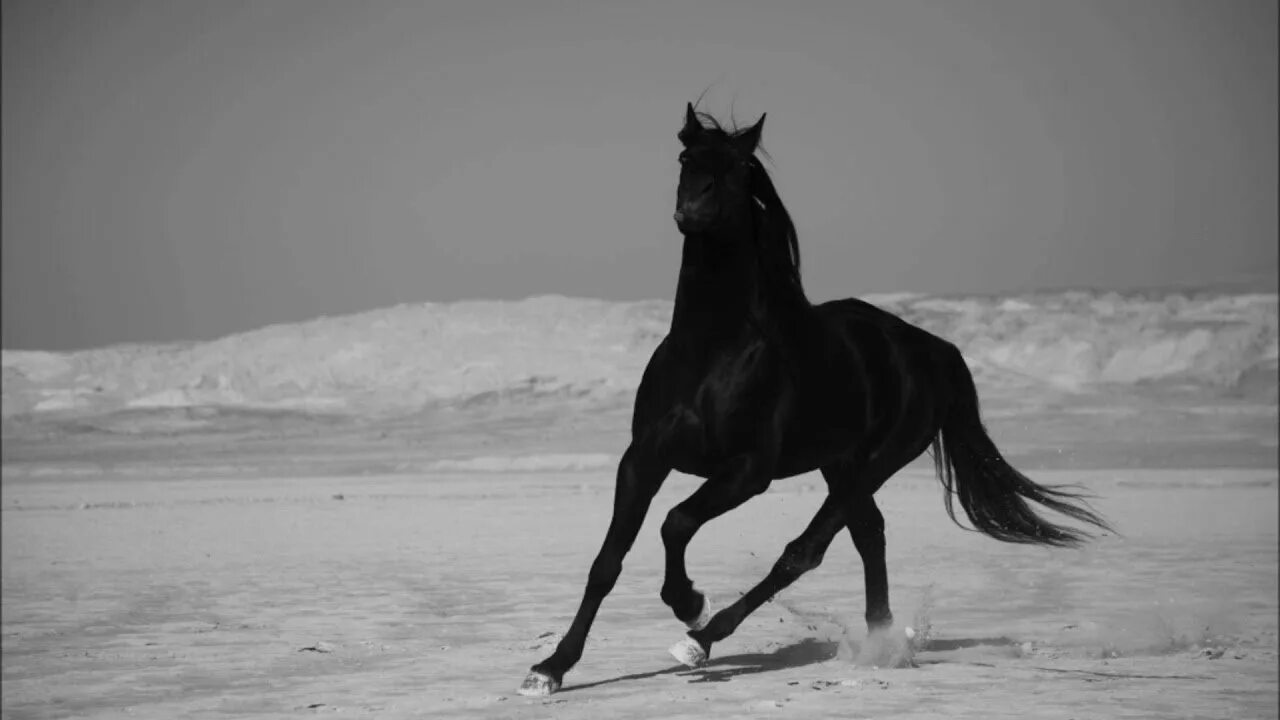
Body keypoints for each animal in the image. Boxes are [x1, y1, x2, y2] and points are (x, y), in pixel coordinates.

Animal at [517, 103, 1111, 691]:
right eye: (686, 158)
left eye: (738, 166)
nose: (694, 210)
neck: (711, 350)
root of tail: (930, 349)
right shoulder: (643, 458)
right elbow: (607, 560)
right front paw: (550, 669)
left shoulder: (748, 471)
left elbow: (677, 522)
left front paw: (689, 603)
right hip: (841, 466)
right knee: (868, 535)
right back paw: (880, 644)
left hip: (874, 464)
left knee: (804, 552)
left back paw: (703, 639)